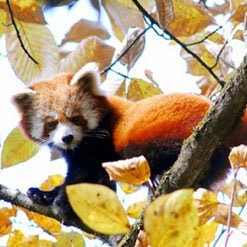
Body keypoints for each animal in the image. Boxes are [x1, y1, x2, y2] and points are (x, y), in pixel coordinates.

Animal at [12, 62, 247, 221]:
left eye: (75, 118)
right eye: (52, 123)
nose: (67, 137)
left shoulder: (100, 144)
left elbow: (84, 176)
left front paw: (62, 202)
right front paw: (44, 194)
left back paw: (162, 174)